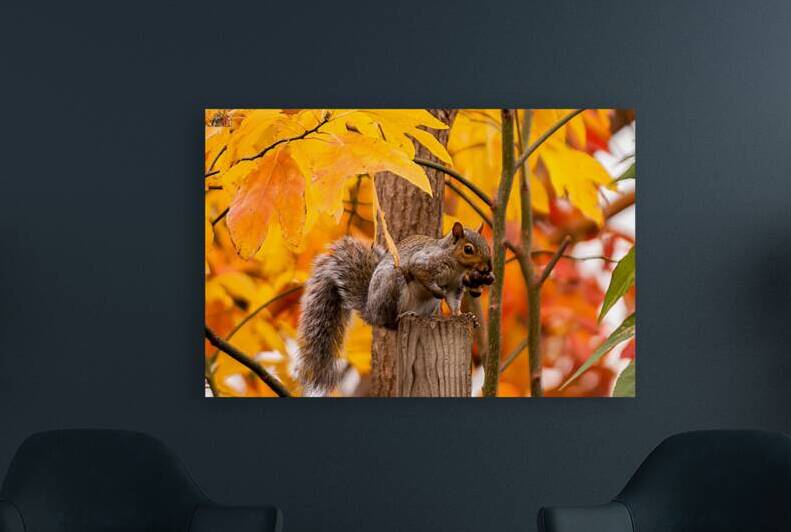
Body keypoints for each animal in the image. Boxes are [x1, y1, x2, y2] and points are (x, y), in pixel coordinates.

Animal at [296, 221, 494, 394]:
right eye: (468, 249)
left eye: (487, 245)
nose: (487, 268)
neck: (456, 266)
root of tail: (371, 311)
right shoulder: (424, 262)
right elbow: (420, 273)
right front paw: (437, 291)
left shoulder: (455, 287)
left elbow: (454, 303)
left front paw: (463, 316)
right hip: (393, 284)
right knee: (390, 322)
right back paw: (402, 316)